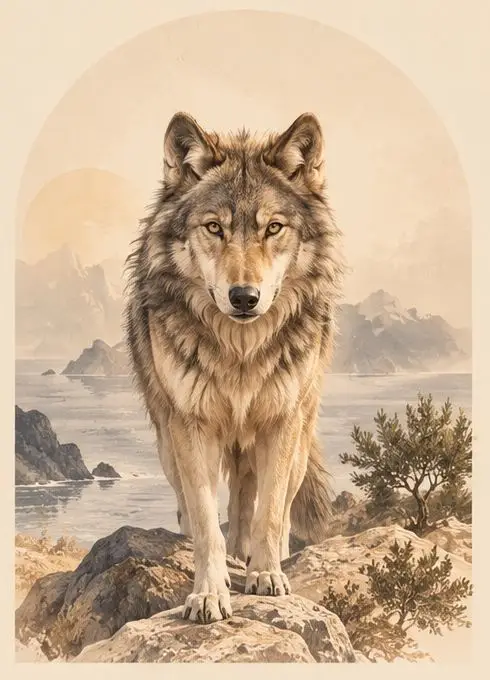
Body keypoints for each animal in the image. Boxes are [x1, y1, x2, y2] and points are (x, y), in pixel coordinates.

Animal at [124, 111, 344, 624]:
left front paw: (265, 575)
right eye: (214, 228)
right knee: (200, 505)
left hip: (297, 435)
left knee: (262, 502)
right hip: (167, 442)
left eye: (273, 228)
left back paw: (260, 558)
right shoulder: (189, 426)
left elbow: (270, 513)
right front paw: (209, 593)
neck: (241, 351)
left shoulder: (282, 422)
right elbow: (207, 521)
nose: (245, 297)